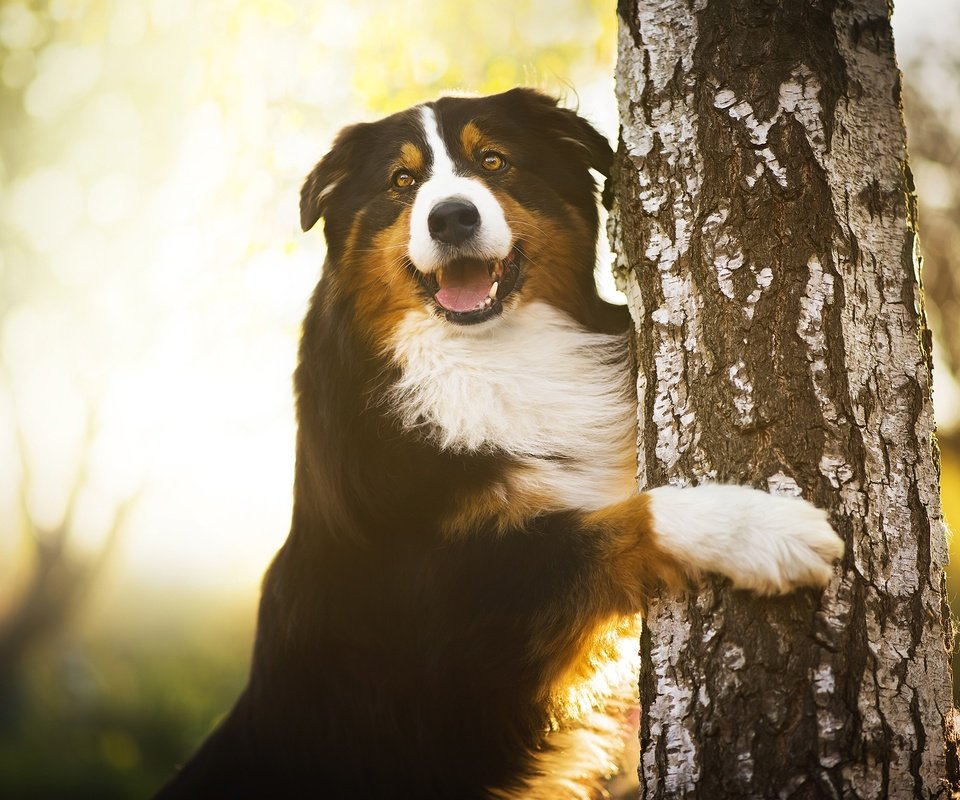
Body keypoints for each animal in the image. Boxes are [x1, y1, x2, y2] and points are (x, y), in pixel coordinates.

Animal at [156, 87, 840, 800]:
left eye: (493, 160)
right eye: (401, 182)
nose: (451, 217)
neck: (491, 354)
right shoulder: (467, 635)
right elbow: (617, 524)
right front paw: (760, 529)